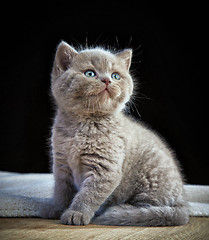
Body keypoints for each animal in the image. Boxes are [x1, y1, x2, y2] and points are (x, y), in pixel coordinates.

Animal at [40, 40, 189, 226]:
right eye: (90, 73)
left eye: (116, 76)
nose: (107, 80)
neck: (83, 124)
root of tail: (183, 204)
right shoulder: (61, 164)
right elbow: (62, 190)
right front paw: (57, 208)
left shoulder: (104, 168)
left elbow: (89, 194)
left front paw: (76, 213)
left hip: (152, 180)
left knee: (153, 208)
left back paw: (124, 210)